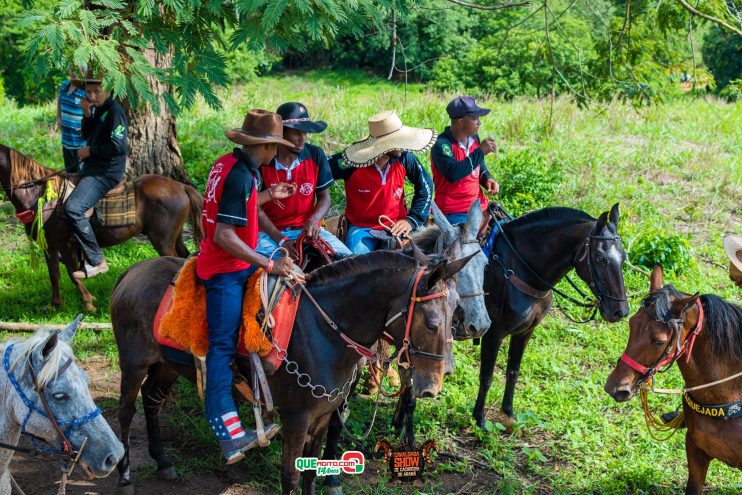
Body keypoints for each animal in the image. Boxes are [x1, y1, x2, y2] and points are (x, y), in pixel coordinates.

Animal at [0, 144, 205, 314]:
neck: (40, 196)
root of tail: (181, 186)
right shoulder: (49, 245)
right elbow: (54, 274)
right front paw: (54, 304)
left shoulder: (65, 244)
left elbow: (72, 273)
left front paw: (89, 302)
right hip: (174, 237)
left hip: (162, 240)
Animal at [108, 254, 474, 494]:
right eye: (432, 324)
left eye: (455, 315)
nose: (433, 386)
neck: (324, 331)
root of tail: (130, 272)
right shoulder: (296, 420)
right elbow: (290, 476)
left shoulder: (322, 419)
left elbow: (311, 473)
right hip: (134, 364)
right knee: (126, 413)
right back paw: (124, 476)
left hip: (166, 365)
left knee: (152, 401)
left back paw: (162, 461)